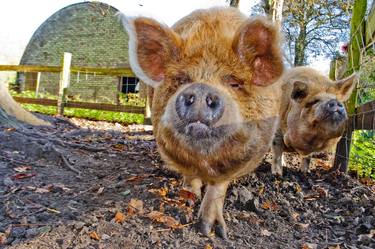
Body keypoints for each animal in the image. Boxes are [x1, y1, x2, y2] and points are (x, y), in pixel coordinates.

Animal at [122, 6, 284, 238]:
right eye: (181, 80)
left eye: (234, 83)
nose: (200, 89)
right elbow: (190, 175)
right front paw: (188, 198)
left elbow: (219, 186)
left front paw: (213, 232)